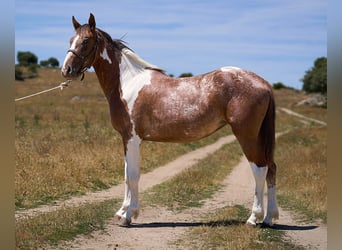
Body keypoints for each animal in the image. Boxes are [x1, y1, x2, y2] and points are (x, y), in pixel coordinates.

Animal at [62, 13, 278, 228]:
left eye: (86, 41)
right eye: (71, 40)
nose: (67, 70)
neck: (127, 83)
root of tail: (264, 84)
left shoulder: (132, 138)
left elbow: (133, 176)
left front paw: (128, 215)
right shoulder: (126, 139)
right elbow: (126, 175)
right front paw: (122, 211)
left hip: (247, 135)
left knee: (260, 169)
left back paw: (253, 218)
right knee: (271, 169)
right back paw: (269, 218)